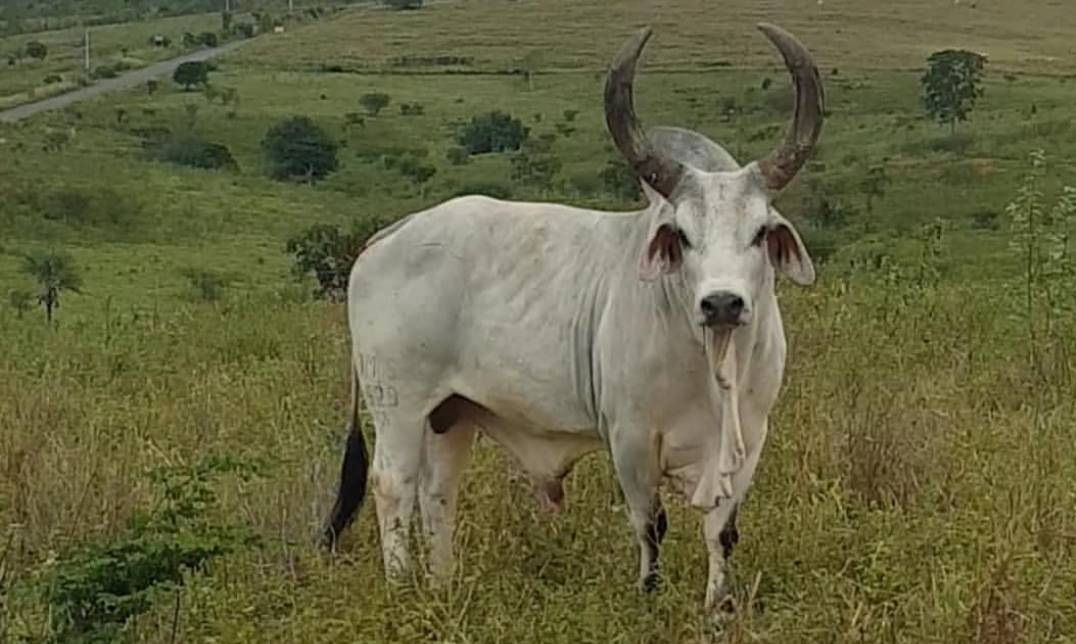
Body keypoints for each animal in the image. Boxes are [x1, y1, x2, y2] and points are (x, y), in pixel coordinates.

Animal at [318, 22, 822, 610]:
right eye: (680, 234)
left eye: (761, 232)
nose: (722, 303)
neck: (709, 365)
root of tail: (389, 234)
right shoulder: (629, 438)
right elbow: (650, 524)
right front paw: (648, 598)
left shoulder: (749, 441)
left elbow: (722, 532)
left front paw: (718, 608)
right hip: (397, 405)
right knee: (393, 485)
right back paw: (401, 590)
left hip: (449, 414)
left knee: (436, 493)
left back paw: (444, 589)